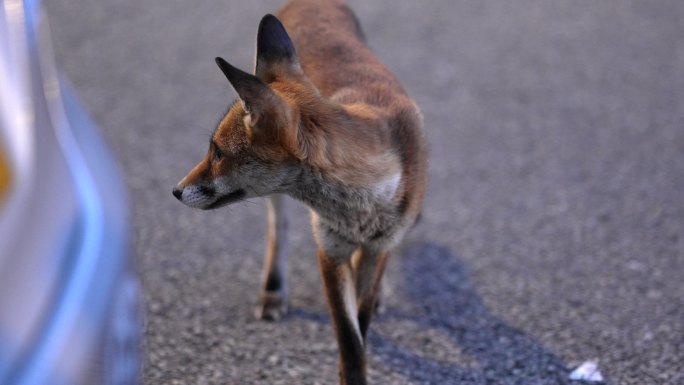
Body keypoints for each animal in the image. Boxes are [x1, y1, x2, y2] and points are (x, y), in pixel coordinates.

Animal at [174, 1, 424, 382]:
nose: (176, 190)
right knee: (278, 231)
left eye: (217, 152)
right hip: (279, 206)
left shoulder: (380, 242)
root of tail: (312, 3)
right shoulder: (329, 250)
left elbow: (361, 323)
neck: (362, 206)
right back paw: (273, 291)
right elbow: (350, 340)